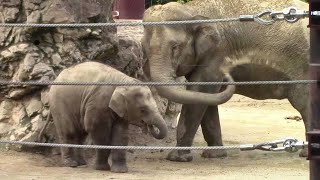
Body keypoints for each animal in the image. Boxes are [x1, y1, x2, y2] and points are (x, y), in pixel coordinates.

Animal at [141, 0, 310, 162]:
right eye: (144, 48)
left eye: (175, 47)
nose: (228, 74)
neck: (192, 9)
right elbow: (205, 98)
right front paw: (214, 155)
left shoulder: (216, 52)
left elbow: (201, 90)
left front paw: (177, 158)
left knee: (304, 104)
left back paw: (306, 154)